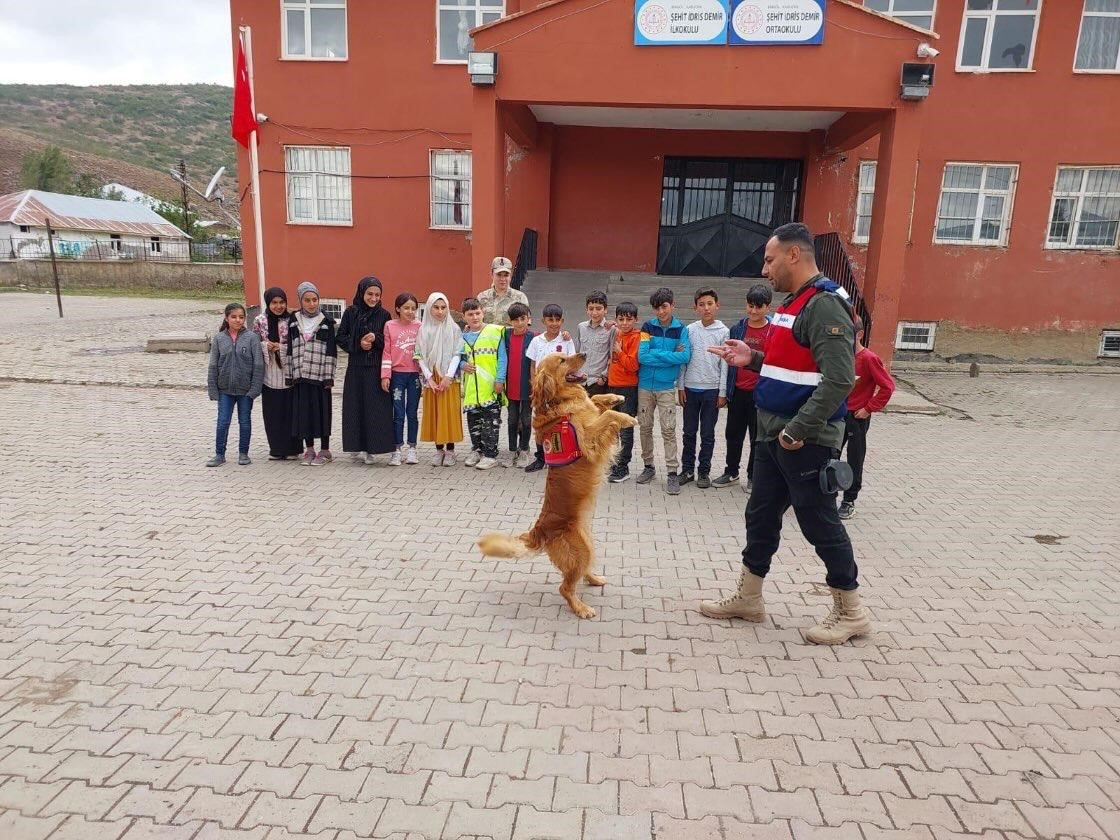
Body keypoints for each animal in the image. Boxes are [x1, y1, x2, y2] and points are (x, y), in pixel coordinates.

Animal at [479, 351, 640, 622]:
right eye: (562, 361)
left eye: (565, 354)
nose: (584, 353)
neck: (560, 400)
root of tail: (539, 531)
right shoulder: (588, 440)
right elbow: (606, 416)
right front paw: (626, 417)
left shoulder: (591, 415)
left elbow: (596, 400)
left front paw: (614, 397)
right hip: (579, 550)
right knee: (565, 587)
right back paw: (581, 608)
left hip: (587, 544)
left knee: (580, 574)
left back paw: (594, 579)